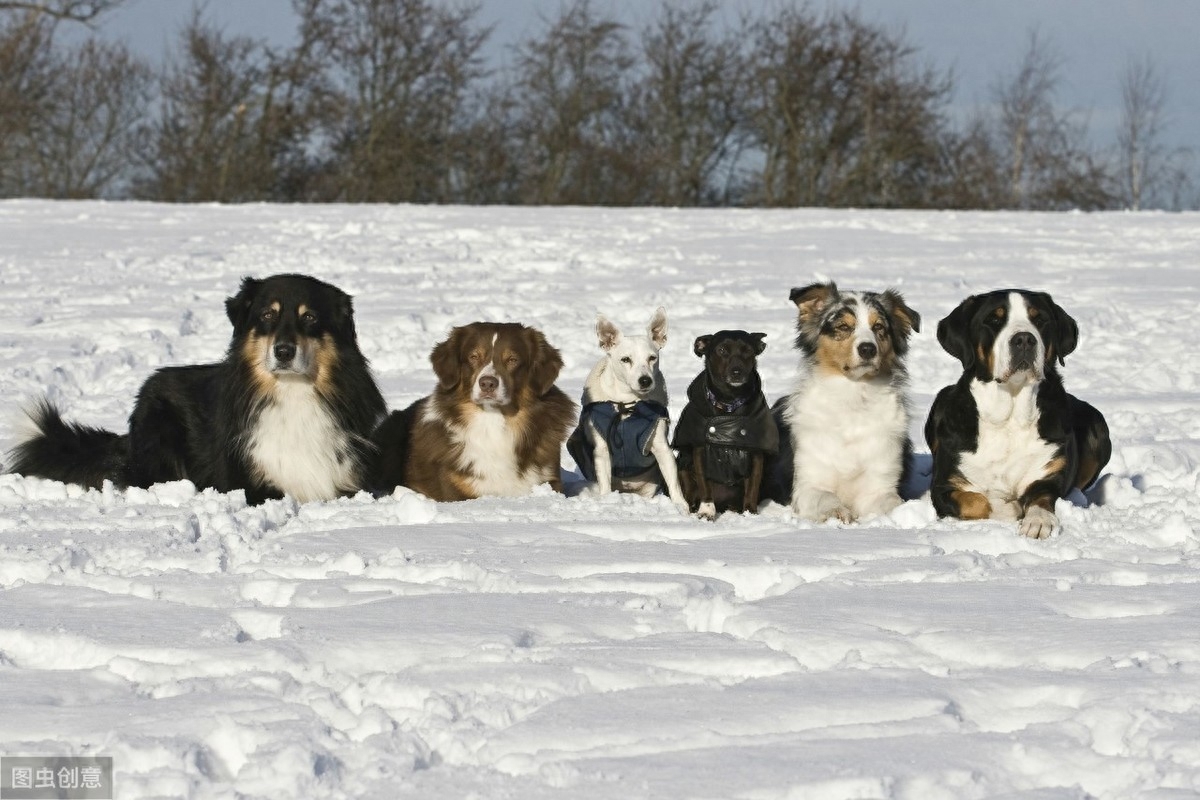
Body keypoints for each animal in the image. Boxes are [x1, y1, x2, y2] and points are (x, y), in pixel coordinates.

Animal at [369, 321, 576, 501]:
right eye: (473, 357)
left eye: (512, 360)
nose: (487, 384)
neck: (493, 422)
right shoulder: (458, 489)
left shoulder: (549, 480)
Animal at [566, 307, 691, 513]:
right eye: (625, 359)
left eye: (652, 358)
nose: (645, 380)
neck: (627, 403)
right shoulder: (601, 450)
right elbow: (605, 481)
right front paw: (607, 501)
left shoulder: (662, 447)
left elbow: (673, 481)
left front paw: (681, 506)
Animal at [672, 331, 782, 520]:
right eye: (722, 350)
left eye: (747, 350)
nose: (737, 372)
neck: (729, 402)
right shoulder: (700, 451)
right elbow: (704, 484)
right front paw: (706, 511)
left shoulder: (756, 454)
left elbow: (752, 488)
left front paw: (750, 513)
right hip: (684, 464)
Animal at [763, 283, 921, 525]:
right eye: (844, 326)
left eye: (879, 326)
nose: (868, 349)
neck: (853, 397)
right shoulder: (808, 484)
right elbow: (825, 497)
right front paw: (838, 512)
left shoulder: (878, 485)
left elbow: (891, 502)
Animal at [921, 287, 1108, 537]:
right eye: (994, 320)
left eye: (1039, 319)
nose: (1024, 339)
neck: (1010, 415)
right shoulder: (945, 485)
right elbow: (976, 501)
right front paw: (1007, 508)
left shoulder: (1048, 476)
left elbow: (1042, 500)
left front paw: (1039, 521)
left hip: (1098, 423)